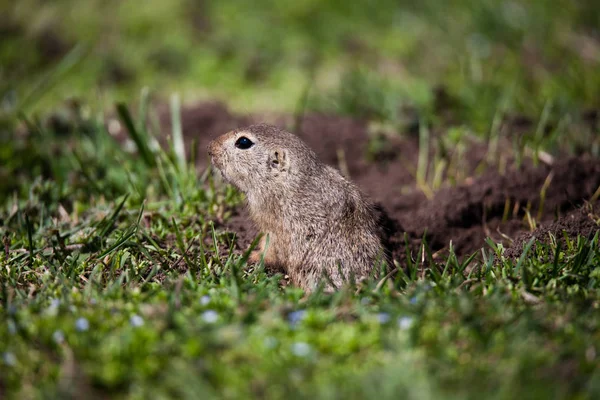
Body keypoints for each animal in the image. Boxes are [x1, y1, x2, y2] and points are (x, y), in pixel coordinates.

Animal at [209, 122, 390, 290]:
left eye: (243, 142)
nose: (210, 147)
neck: (285, 179)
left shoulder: (271, 221)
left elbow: (270, 250)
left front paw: (250, 256)